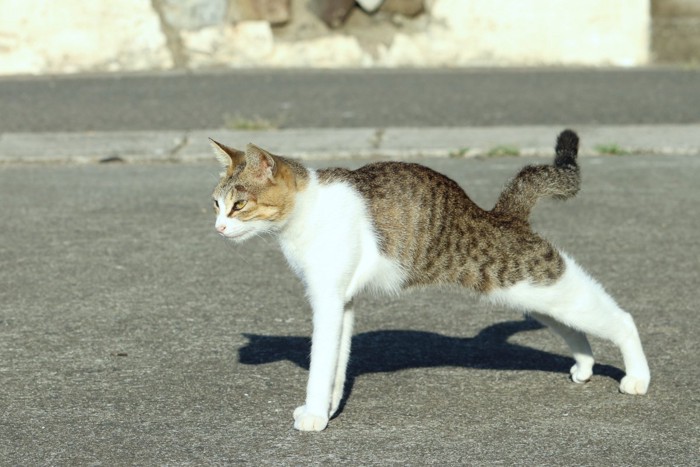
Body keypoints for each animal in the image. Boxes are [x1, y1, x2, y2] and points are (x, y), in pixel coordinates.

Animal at [209, 130, 652, 434]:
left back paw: (637, 377)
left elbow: (321, 365)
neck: (307, 209)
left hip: (537, 280)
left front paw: (316, 415)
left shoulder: (328, 303)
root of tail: (499, 214)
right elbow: (337, 366)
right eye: (216, 204)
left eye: (239, 205)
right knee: (573, 327)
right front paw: (330, 408)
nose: (218, 228)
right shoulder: (344, 303)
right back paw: (584, 365)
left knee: (622, 319)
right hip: (527, 294)